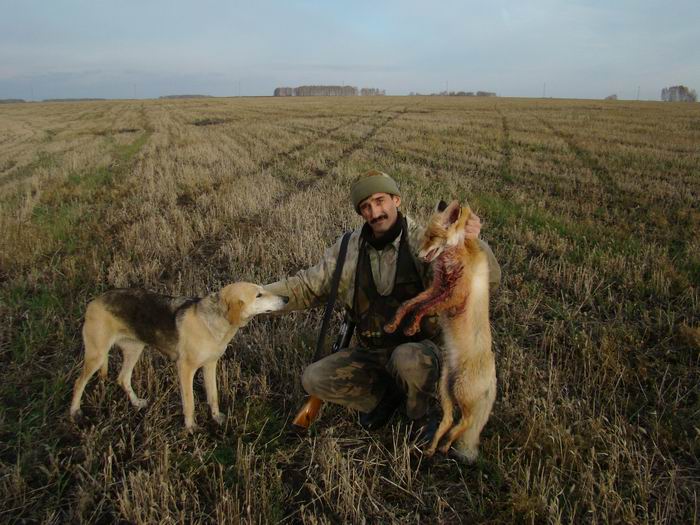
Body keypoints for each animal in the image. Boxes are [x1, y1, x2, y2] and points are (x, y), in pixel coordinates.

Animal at [69, 282, 288, 426]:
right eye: (258, 295)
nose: (286, 298)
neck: (211, 322)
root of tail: (93, 302)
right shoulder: (185, 368)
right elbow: (189, 402)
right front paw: (191, 428)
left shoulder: (210, 365)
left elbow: (213, 395)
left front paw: (217, 418)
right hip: (97, 354)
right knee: (79, 382)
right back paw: (75, 413)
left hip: (134, 349)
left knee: (122, 378)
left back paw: (137, 403)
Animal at [386, 199, 494, 460]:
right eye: (424, 234)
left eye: (433, 236)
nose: (417, 254)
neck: (454, 258)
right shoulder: (436, 288)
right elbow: (409, 304)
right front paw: (395, 324)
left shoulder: (454, 295)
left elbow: (421, 308)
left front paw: (411, 326)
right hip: (446, 391)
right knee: (448, 422)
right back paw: (432, 448)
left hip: (461, 393)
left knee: (464, 423)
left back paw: (445, 446)